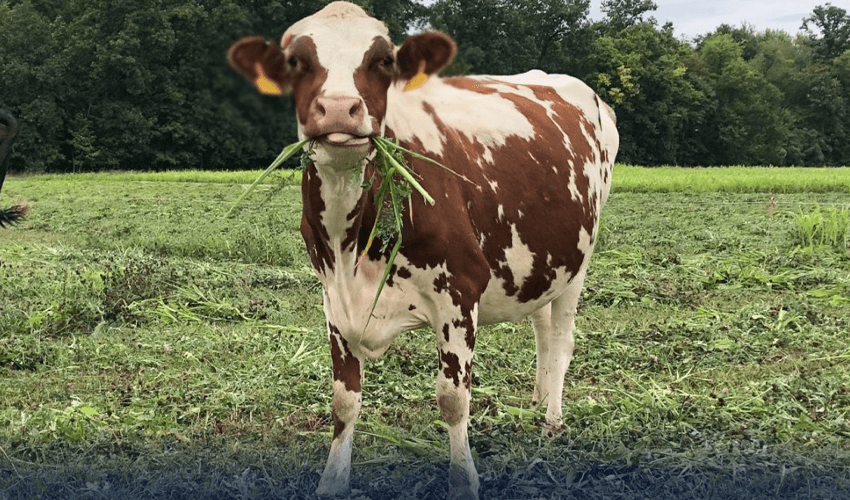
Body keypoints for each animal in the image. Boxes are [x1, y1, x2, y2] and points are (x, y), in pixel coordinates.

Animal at [227, 3, 618, 499]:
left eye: (384, 60)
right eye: (296, 61)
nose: (338, 109)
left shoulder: (460, 292)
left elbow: (453, 400)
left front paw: (463, 481)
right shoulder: (333, 298)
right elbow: (344, 401)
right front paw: (332, 481)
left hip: (579, 259)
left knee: (562, 339)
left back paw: (552, 421)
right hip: (540, 262)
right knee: (543, 333)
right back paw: (537, 400)